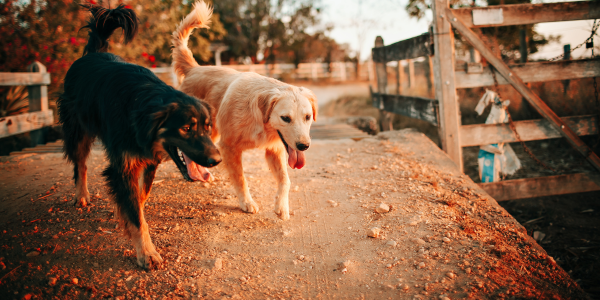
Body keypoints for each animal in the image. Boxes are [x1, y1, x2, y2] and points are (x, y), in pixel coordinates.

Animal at [55, 3, 220, 268]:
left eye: (207, 127)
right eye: (186, 128)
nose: (217, 160)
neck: (142, 108)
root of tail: (92, 53)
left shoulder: (149, 161)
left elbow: (139, 199)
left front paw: (128, 215)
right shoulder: (123, 166)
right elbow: (134, 213)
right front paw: (147, 252)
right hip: (77, 130)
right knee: (80, 164)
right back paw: (81, 195)